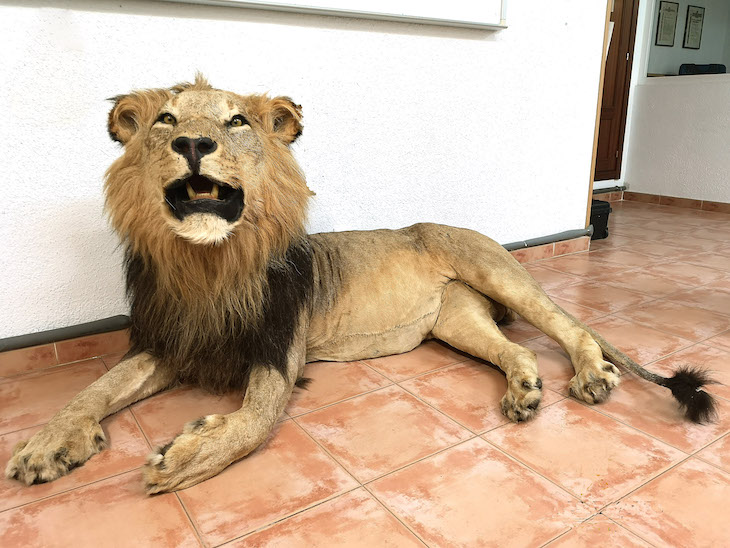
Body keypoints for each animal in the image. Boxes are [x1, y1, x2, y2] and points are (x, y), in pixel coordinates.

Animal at [5, 75, 716, 494]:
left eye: (237, 122)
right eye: (165, 120)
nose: (194, 143)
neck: (209, 264)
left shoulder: (278, 352)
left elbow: (255, 420)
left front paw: (181, 457)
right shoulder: (168, 342)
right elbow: (93, 390)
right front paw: (46, 444)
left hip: (496, 272)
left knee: (571, 326)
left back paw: (592, 376)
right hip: (456, 321)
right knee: (515, 350)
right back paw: (524, 393)